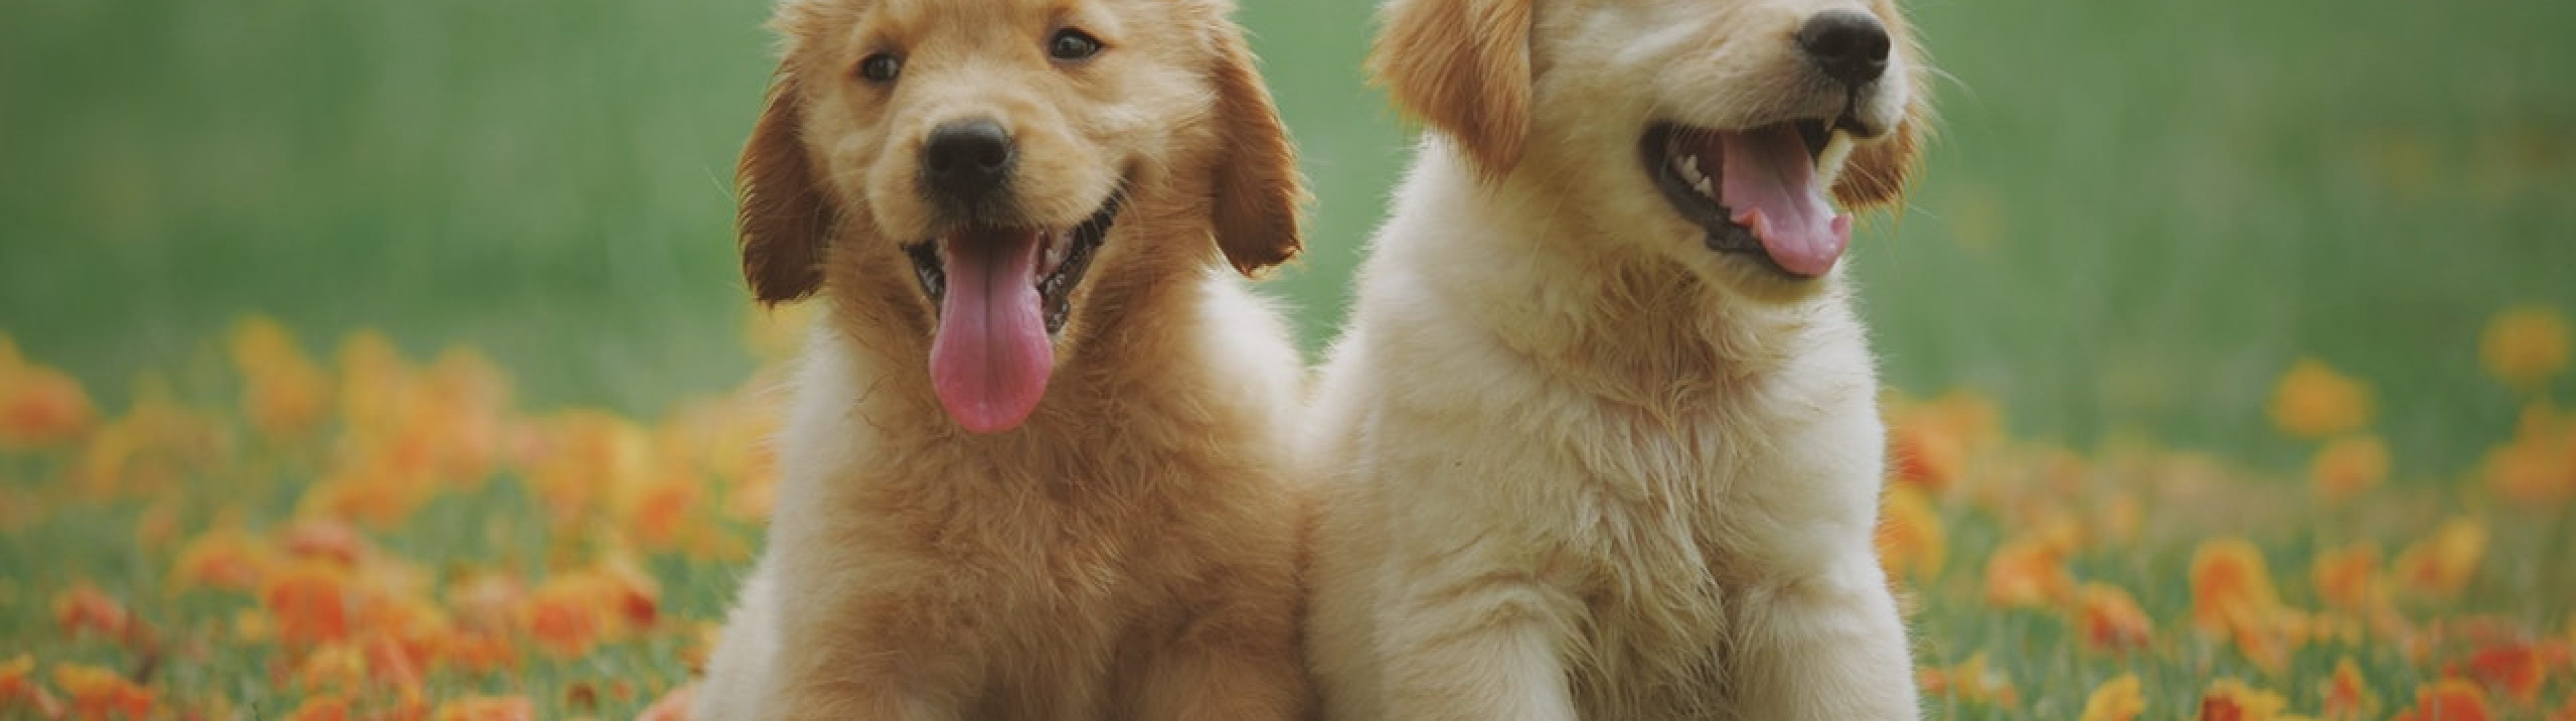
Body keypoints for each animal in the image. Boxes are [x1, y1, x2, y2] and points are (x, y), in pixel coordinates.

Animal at [690, 0, 1319, 716]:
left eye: (1072, 45)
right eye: (880, 66)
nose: (963, 151)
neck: (1032, 431)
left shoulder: (1220, 647)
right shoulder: (857, 661)